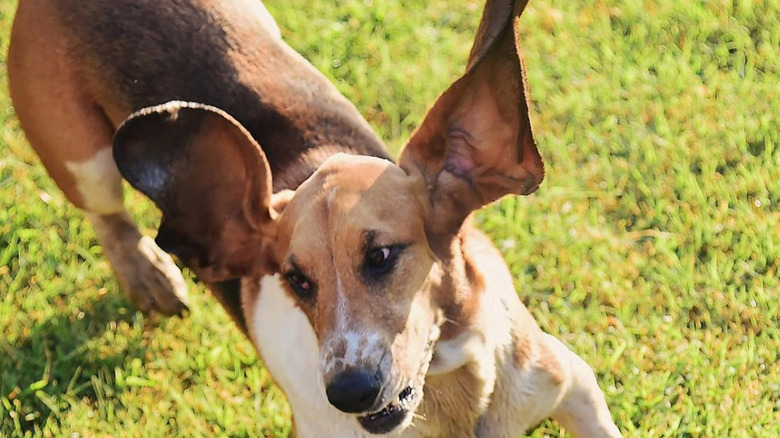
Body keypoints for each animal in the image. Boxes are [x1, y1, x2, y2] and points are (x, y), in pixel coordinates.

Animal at [9, 0, 624, 434]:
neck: (451, 393)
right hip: (85, 161)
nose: (349, 392)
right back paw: (146, 273)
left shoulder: (573, 387)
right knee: (107, 214)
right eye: (296, 280)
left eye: (381, 256)